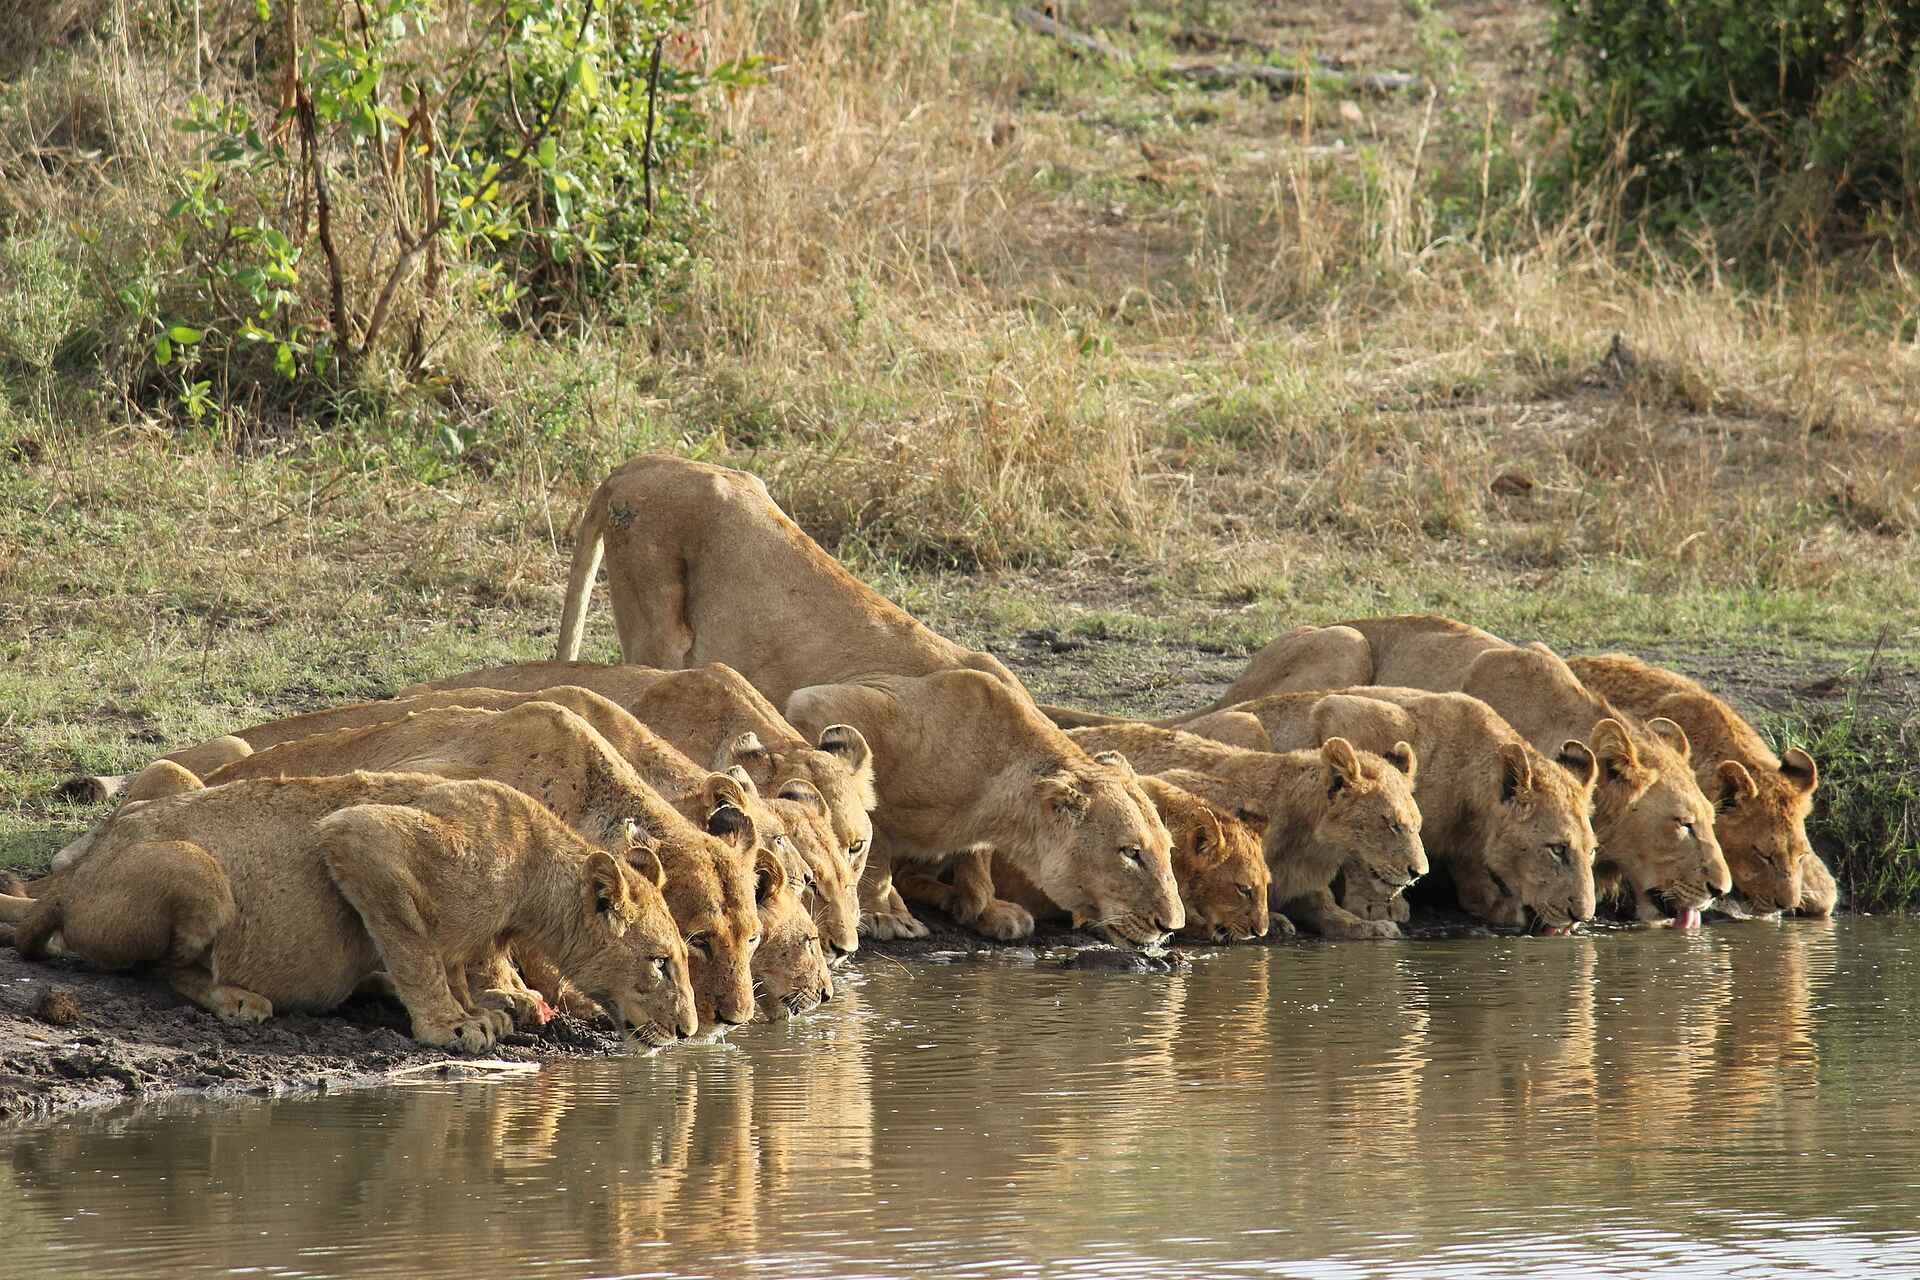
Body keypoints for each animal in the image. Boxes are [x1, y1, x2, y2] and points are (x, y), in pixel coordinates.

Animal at [2, 773, 697, 1049]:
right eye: (661, 963)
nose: (692, 1031)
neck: (533, 877)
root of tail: (68, 882)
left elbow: (450, 959)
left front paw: (484, 1006)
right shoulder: (362, 839)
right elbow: (416, 949)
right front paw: (451, 1025)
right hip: (197, 873)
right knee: (156, 970)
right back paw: (236, 998)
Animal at [784, 669, 1183, 946]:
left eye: (1168, 850)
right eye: (1131, 852)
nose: (1172, 926)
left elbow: (976, 856)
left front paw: (984, 907)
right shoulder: (819, 704)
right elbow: (871, 838)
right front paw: (883, 914)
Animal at [1064, 724, 1424, 940]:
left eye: (1417, 825)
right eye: (1390, 823)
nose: (1419, 871)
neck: (1308, 845)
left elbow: (1331, 912)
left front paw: (1373, 927)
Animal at [1183, 689, 1600, 931]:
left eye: (1592, 851)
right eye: (1557, 849)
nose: (1582, 917)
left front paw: (1490, 900)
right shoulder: (1339, 713)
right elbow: (1358, 836)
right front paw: (1373, 904)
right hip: (1248, 727)